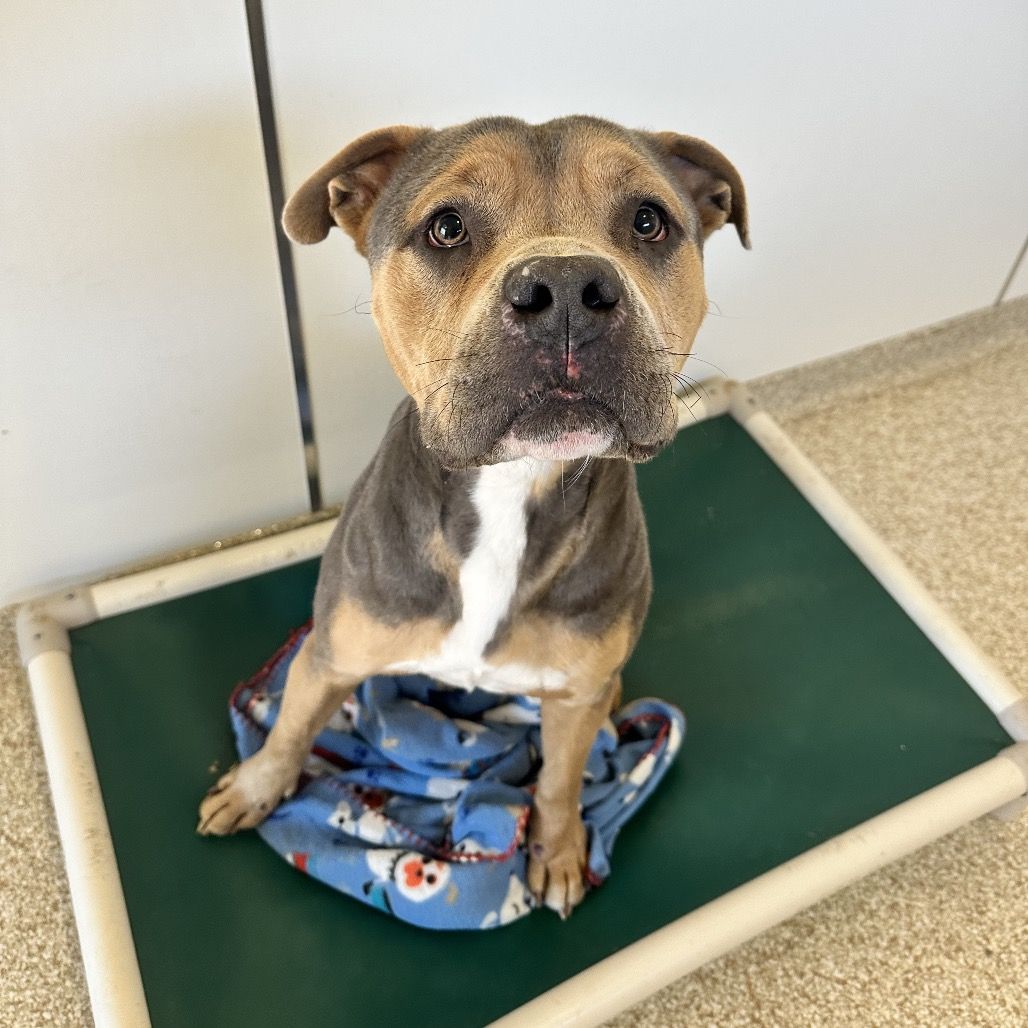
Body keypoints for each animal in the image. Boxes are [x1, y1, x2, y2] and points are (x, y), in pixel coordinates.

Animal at [198, 115, 748, 917]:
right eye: (447, 227)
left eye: (649, 221)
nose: (565, 289)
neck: (510, 490)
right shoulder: (329, 657)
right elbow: (293, 727)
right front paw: (257, 787)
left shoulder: (574, 699)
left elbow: (559, 781)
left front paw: (557, 850)